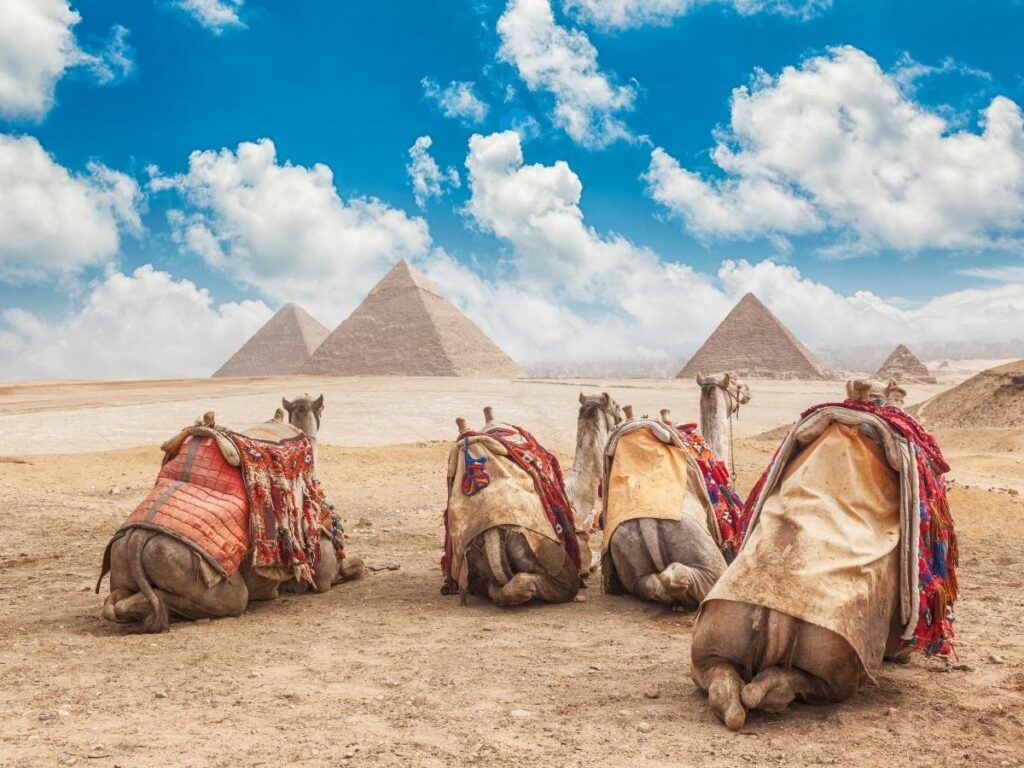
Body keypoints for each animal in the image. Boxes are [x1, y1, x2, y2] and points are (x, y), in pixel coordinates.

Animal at [99, 394, 363, 633]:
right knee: (232, 599)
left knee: (115, 604)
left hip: (123, 557)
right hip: (191, 568)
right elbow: (354, 567)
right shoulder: (322, 573)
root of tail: (137, 539)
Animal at [601, 372, 749, 609]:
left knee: (651, 583)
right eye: (736, 383)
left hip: (626, 554)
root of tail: (647, 523)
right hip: (705, 557)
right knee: (684, 576)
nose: (748, 392)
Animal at [691, 378, 956, 730]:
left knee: (725, 688)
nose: (745, 392)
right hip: (836, 665)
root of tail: (773, 614)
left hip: (711, 645)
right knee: (806, 686)